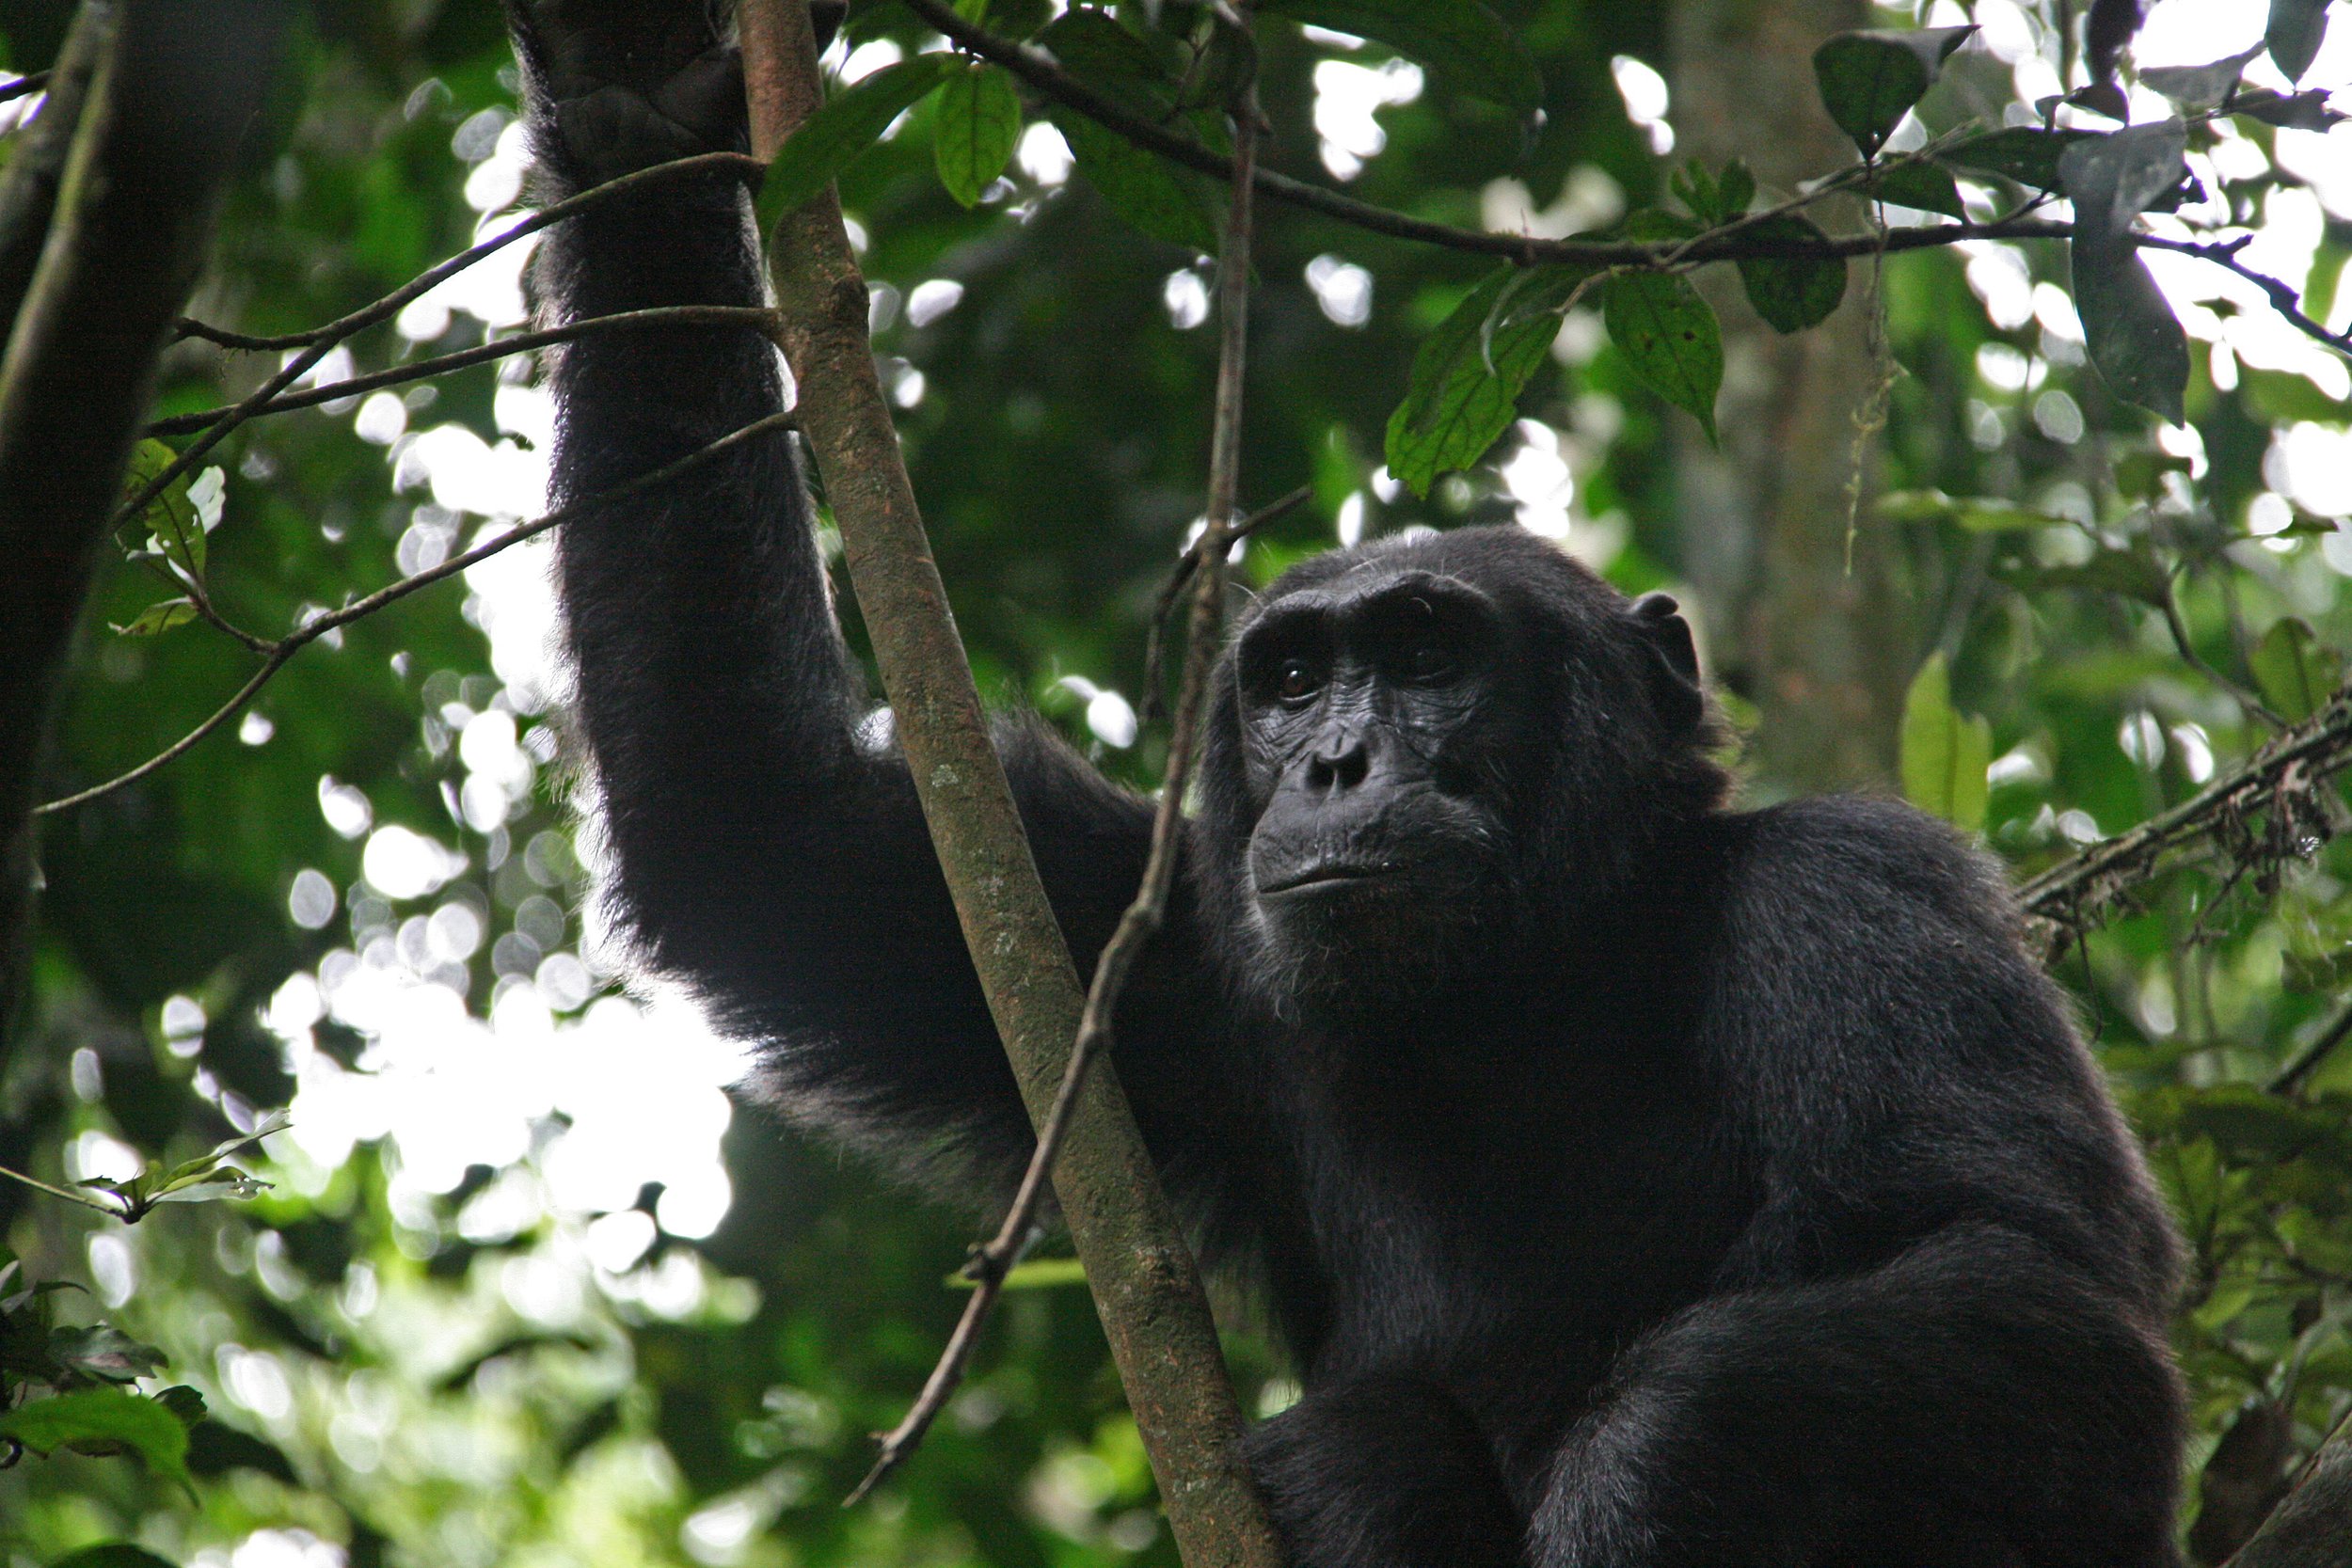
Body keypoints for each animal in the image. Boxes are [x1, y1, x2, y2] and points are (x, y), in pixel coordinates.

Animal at [505, 6, 2173, 1560]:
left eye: (1430, 651)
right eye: (1295, 679)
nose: (1335, 758)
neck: (1530, 981)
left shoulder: (1861, 893)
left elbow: (2023, 1267)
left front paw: (1640, 1476)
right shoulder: (1158, 948)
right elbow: (754, 828)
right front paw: (633, 89)